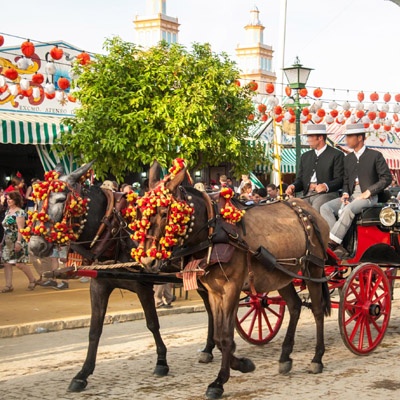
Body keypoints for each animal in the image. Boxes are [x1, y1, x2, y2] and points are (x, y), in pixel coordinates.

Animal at [141, 163, 332, 400]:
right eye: (141, 211)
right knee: (295, 306)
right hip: (282, 274)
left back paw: (317, 358)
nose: (147, 260)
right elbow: (219, 336)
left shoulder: (231, 288)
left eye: (165, 212)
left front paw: (220, 381)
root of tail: (308, 209)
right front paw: (241, 364)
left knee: (317, 310)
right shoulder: (214, 292)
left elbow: (225, 337)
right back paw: (285, 356)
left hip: (314, 268)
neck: (214, 233)